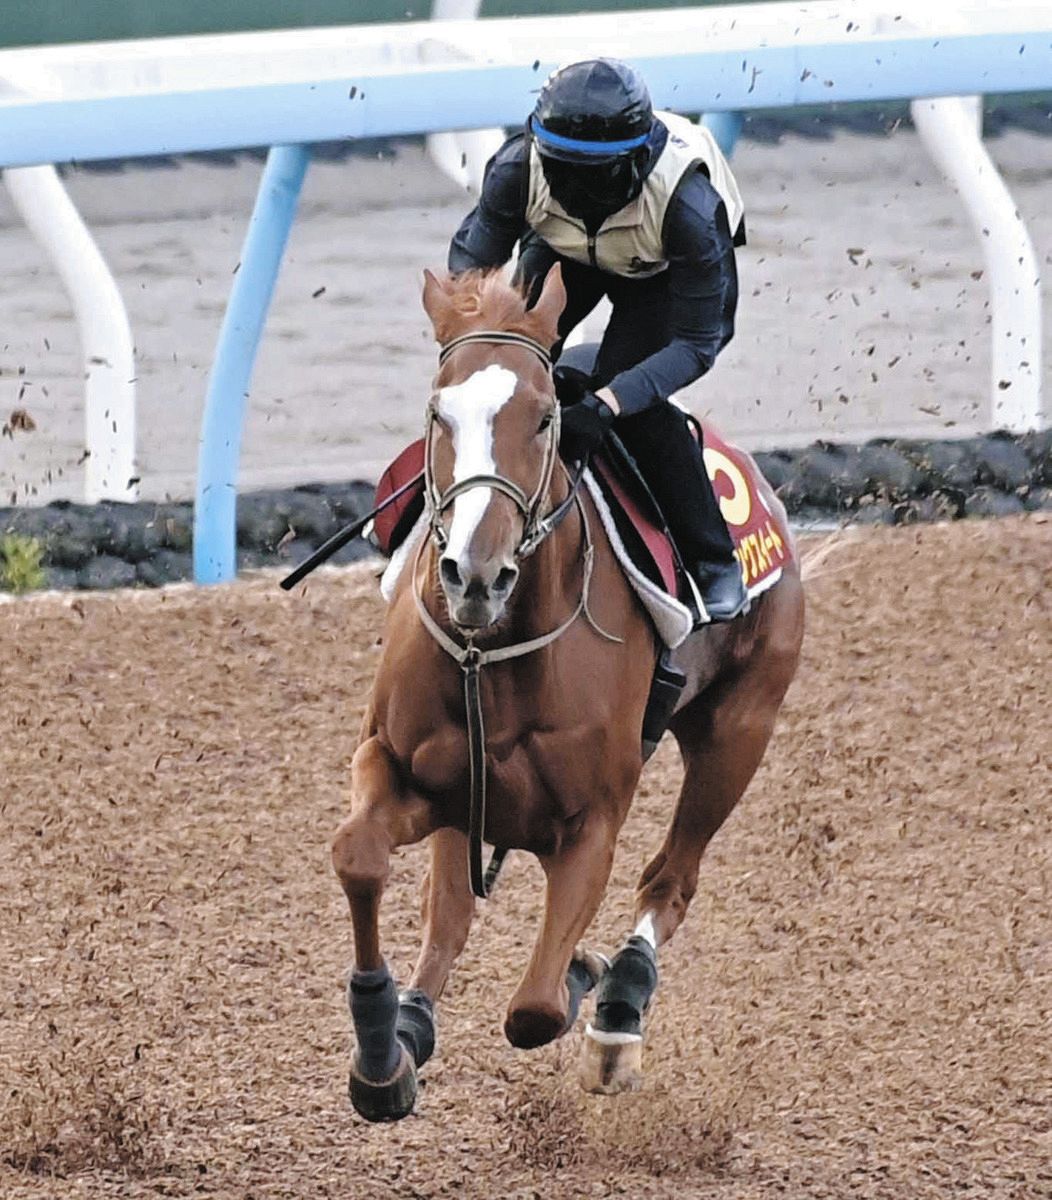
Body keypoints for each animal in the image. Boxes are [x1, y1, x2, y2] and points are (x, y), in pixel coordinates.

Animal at [330, 264, 805, 1121]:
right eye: (437, 412)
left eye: (546, 415)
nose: (474, 575)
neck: (492, 650)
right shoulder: (410, 773)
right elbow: (360, 859)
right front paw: (383, 1048)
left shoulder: (590, 823)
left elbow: (536, 1010)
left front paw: (587, 976)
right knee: (450, 915)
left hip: (738, 732)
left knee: (670, 882)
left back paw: (619, 1007)